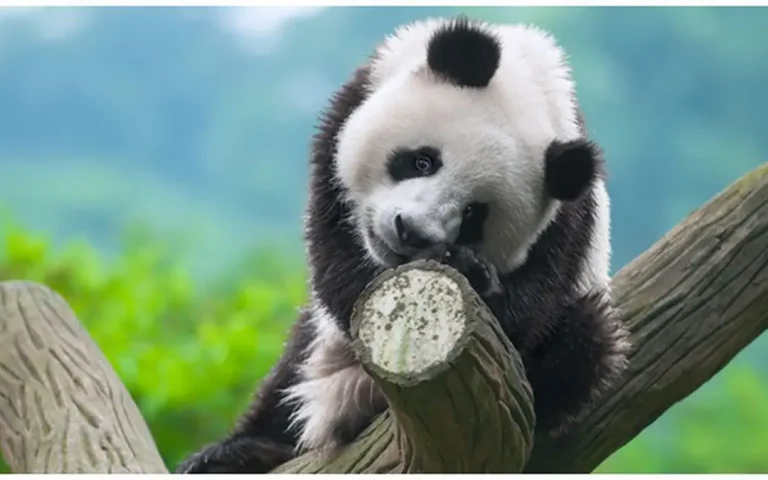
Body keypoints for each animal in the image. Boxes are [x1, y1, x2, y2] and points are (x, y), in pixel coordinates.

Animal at [176, 16, 631, 474]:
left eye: (474, 215)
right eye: (422, 161)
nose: (410, 231)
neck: (530, 80)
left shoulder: (569, 221)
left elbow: (530, 306)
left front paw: (474, 275)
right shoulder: (354, 105)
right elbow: (335, 254)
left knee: (585, 343)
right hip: (319, 351)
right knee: (290, 374)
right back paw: (240, 451)